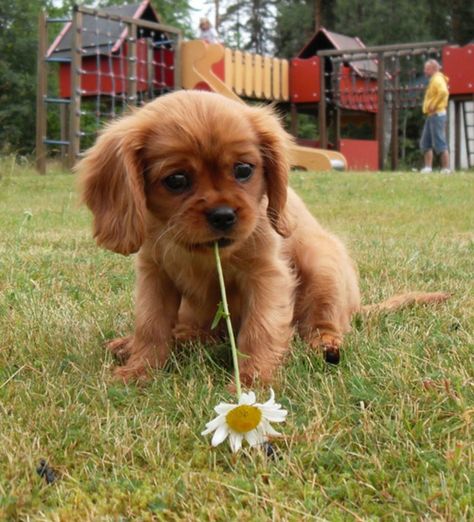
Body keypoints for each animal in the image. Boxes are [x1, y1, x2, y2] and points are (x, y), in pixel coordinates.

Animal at [78, 89, 362, 382]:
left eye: (243, 170)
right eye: (176, 180)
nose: (223, 215)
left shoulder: (267, 275)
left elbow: (261, 328)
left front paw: (253, 380)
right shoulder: (154, 275)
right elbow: (150, 325)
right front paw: (139, 370)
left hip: (322, 262)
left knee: (323, 320)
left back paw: (326, 344)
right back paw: (139, 342)